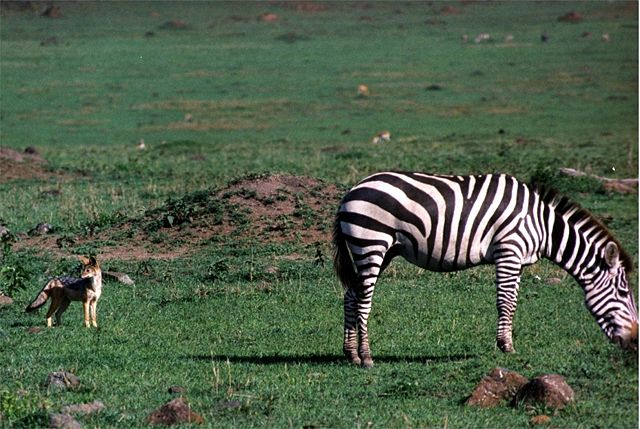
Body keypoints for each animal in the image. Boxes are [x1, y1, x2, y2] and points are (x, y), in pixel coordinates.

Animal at [333, 171, 638, 368]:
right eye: (624, 293)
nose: (634, 342)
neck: (542, 224)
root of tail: (351, 191)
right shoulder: (509, 252)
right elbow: (506, 302)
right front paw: (506, 346)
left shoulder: (519, 260)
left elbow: (512, 302)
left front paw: (506, 343)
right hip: (371, 242)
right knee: (363, 301)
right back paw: (366, 357)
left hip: (380, 250)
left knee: (351, 295)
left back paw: (350, 354)